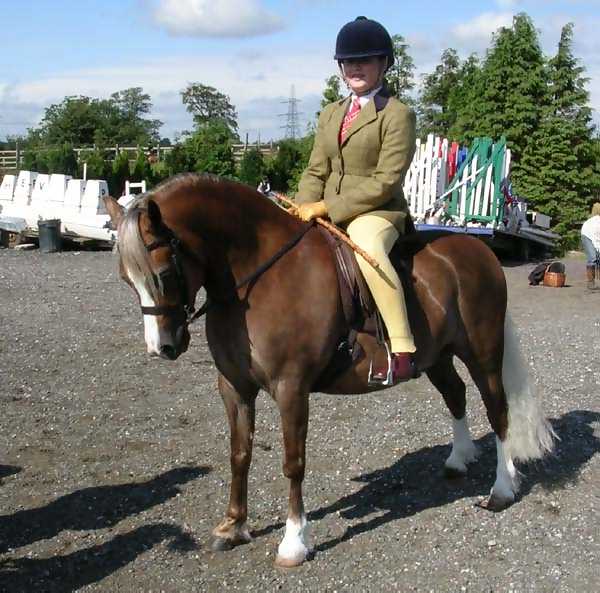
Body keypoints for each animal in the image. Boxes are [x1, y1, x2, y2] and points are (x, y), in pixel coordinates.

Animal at [104, 173, 554, 568]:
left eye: (163, 274)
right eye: (125, 278)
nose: (162, 347)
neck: (255, 280)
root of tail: (476, 251)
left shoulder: (291, 388)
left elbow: (293, 462)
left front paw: (293, 543)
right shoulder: (234, 386)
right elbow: (239, 453)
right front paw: (233, 527)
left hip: (483, 353)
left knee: (498, 411)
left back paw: (501, 490)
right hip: (436, 356)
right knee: (456, 395)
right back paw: (459, 460)